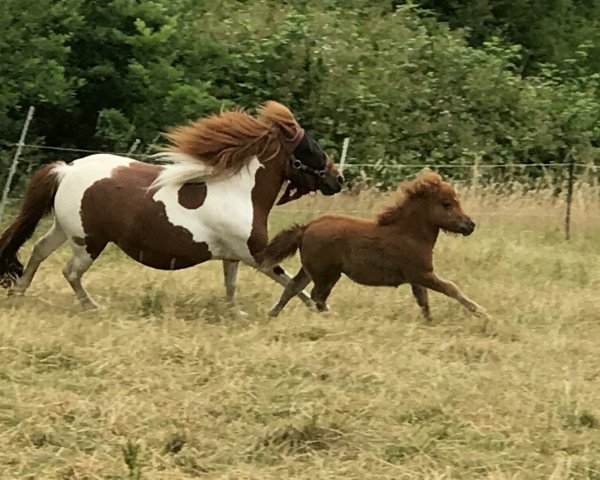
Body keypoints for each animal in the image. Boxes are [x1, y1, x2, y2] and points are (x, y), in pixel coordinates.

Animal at [0, 102, 342, 312]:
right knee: (70, 272)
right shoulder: (255, 254)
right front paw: (318, 307)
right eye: (311, 148)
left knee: (39, 251)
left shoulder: (233, 255)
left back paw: (19, 293)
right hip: (88, 242)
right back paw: (92, 306)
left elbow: (230, 285)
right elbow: (288, 279)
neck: (239, 192)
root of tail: (66, 170)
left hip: (65, 229)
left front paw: (236, 313)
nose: (337, 180)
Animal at [258, 171, 488, 320]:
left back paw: (272, 314)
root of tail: (306, 228)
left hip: (310, 270)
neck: (409, 232)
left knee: (293, 287)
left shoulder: (416, 277)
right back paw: (332, 317)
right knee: (317, 296)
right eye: (446, 204)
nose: (470, 225)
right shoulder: (421, 273)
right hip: (328, 274)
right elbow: (451, 288)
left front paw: (429, 323)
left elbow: (423, 300)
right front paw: (482, 312)